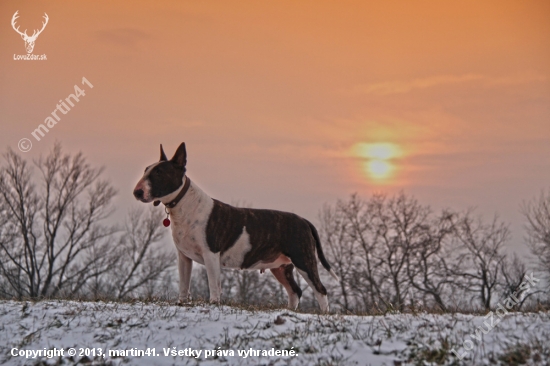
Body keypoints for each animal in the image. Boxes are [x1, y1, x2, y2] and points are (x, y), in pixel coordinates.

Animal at [135, 143, 340, 312]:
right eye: (145, 170)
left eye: (159, 173)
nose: (137, 192)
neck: (183, 204)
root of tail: (304, 221)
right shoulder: (184, 256)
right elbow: (184, 283)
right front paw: (182, 303)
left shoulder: (211, 254)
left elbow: (214, 283)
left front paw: (214, 304)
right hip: (281, 267)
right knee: (295, 291)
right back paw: (289, 311)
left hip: (303, 259)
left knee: (320, 289)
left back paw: (323, 314)